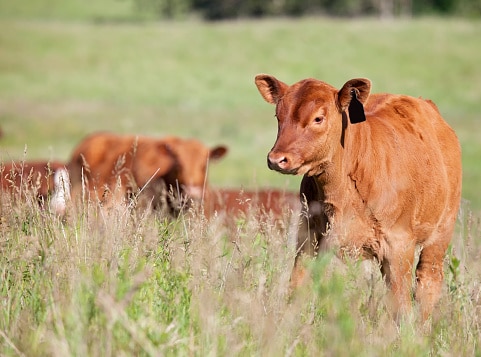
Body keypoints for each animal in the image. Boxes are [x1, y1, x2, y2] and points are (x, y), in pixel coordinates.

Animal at [255, 73, 462, 320]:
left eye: (318, 118)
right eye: (278, 116)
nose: (277, 159)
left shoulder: (399, 244)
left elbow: (402, 306)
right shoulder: (309, 235)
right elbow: (298, 286)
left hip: (441, 230)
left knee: (428, 280)